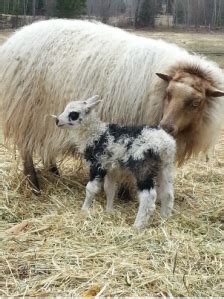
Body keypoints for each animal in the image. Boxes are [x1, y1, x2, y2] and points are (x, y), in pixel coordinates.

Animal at [0, 18, 224, 195]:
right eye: (168, 94)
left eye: (196, 103)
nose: (166, 127)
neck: (156, 95)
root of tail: (15, 39)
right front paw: (126, 193)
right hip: (26, 114)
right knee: (26, 150)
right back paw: (34, 184)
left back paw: (54, 172)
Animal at [55, 96, 176, 230]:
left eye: (74, 114)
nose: (57, 120)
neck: (95, 133)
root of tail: (165, 143)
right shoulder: (112, 168)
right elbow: (110, 189)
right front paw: (109, 211)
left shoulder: (97, 165)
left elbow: (91, 189)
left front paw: (84, 209)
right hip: (165, 166)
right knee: (167, 193)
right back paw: (164, 219)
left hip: (143, 167)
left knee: (148, 197)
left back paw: (137, 226)